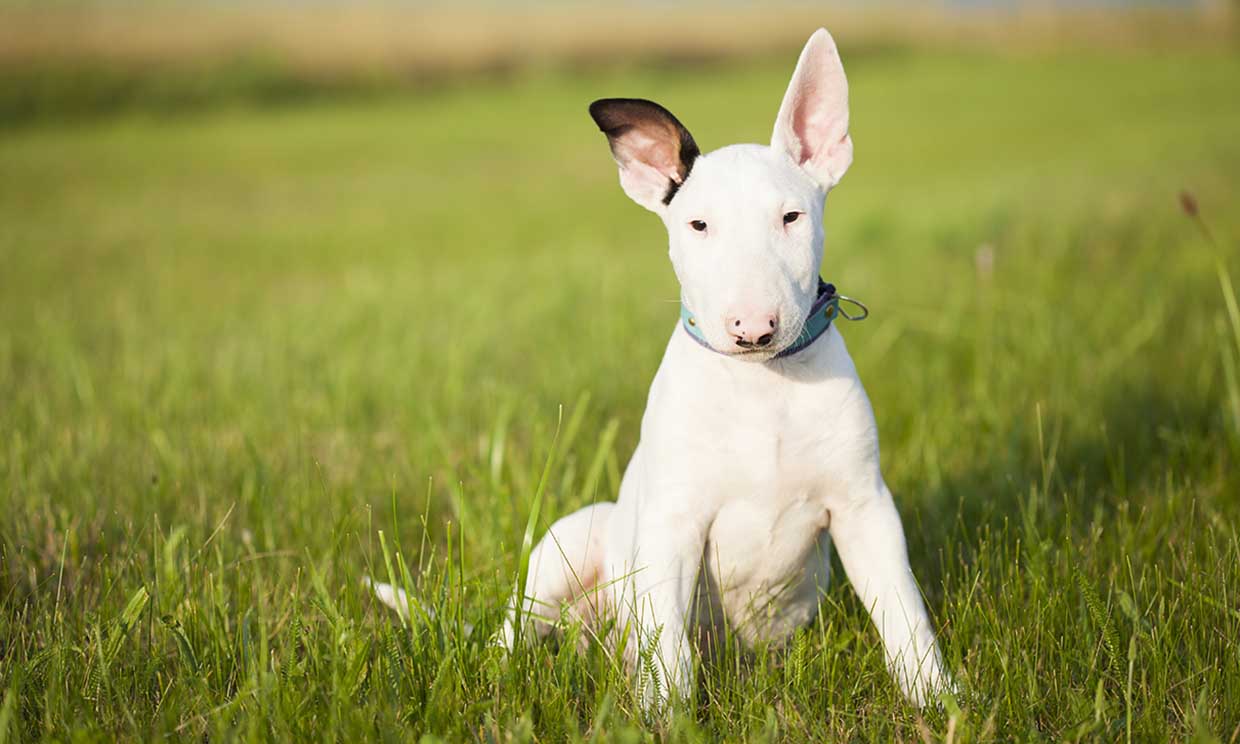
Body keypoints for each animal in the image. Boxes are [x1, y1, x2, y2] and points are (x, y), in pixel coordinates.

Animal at [372, 29, 942, 714]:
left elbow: (905, 614)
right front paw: (666, 716)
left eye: (792, 218)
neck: (762, 387)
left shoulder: (864, 508)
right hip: (566, 549)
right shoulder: (674, 523)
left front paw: (942, 702)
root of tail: (586, 630)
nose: (753, 328)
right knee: (514, 631)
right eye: (698, 224)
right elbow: (668, 642)